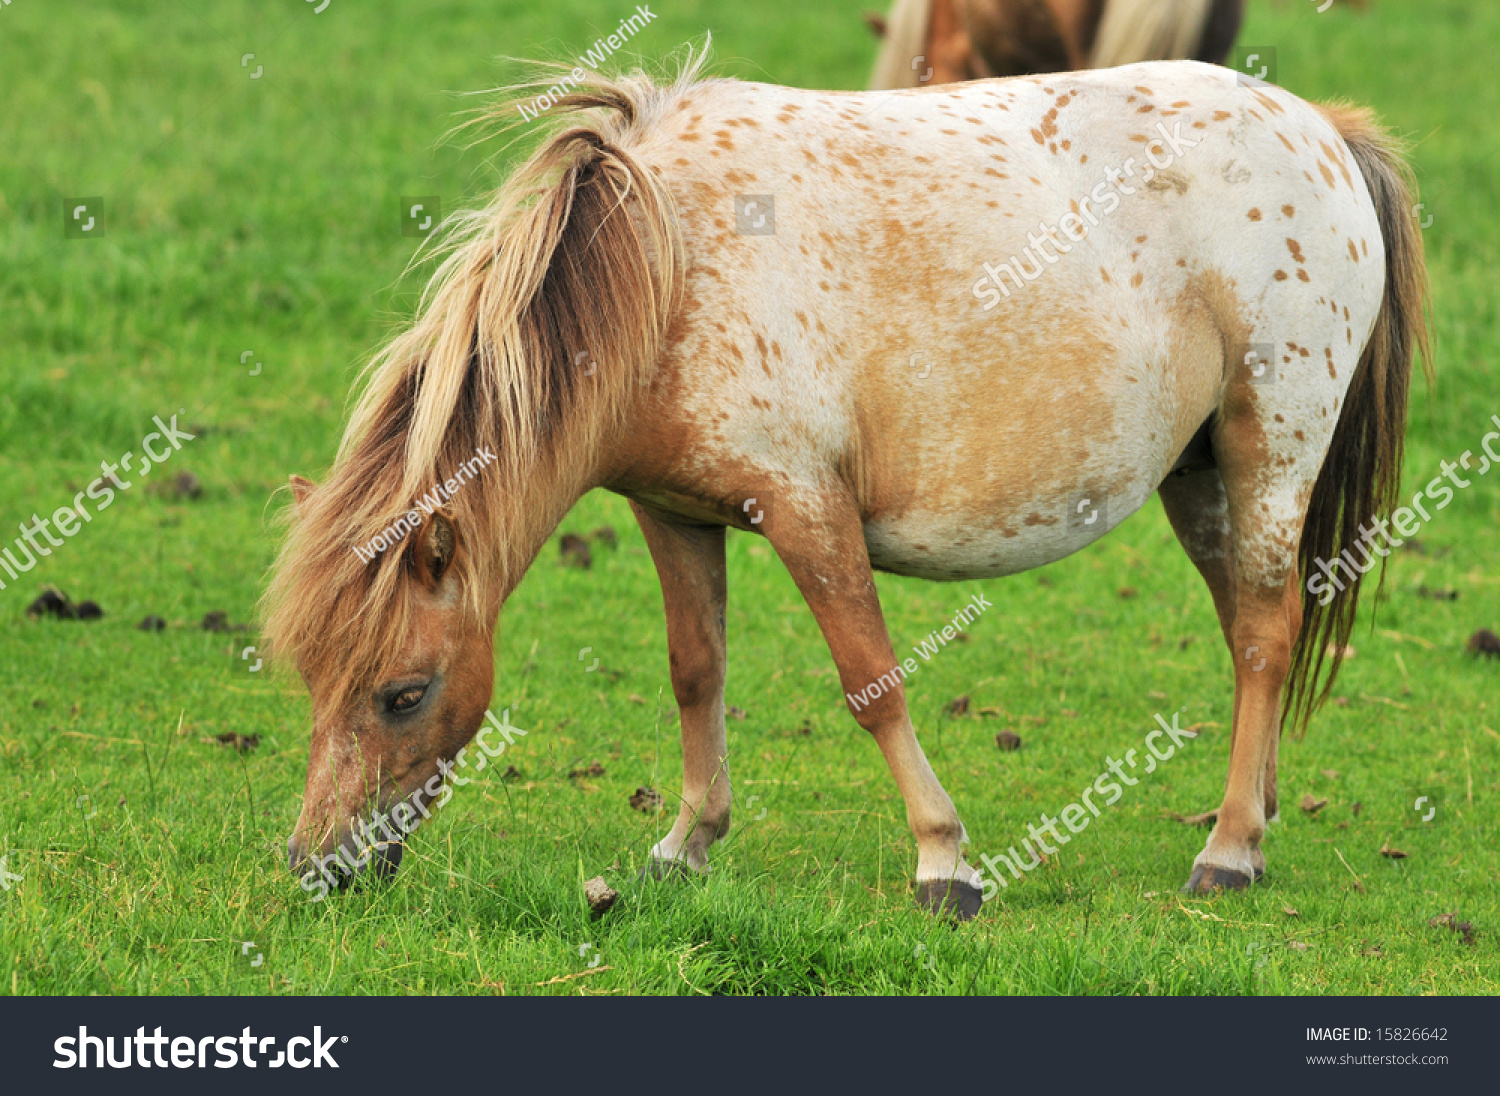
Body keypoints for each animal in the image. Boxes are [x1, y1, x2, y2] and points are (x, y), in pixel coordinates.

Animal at [267, 55, 1428, 923]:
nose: (317, 869)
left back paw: (1227, 851)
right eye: (315, 676)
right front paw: (685, 844)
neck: (669, 262)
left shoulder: (803, 505)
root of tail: (1321, 130)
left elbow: (873, 682)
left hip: (1270, 446)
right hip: (1203, 478)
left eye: (403, 692)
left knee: (1268, 632)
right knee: (1247, 628)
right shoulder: (673, 513)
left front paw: (944, 861)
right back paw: (1255, 816)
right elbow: (696, 670)